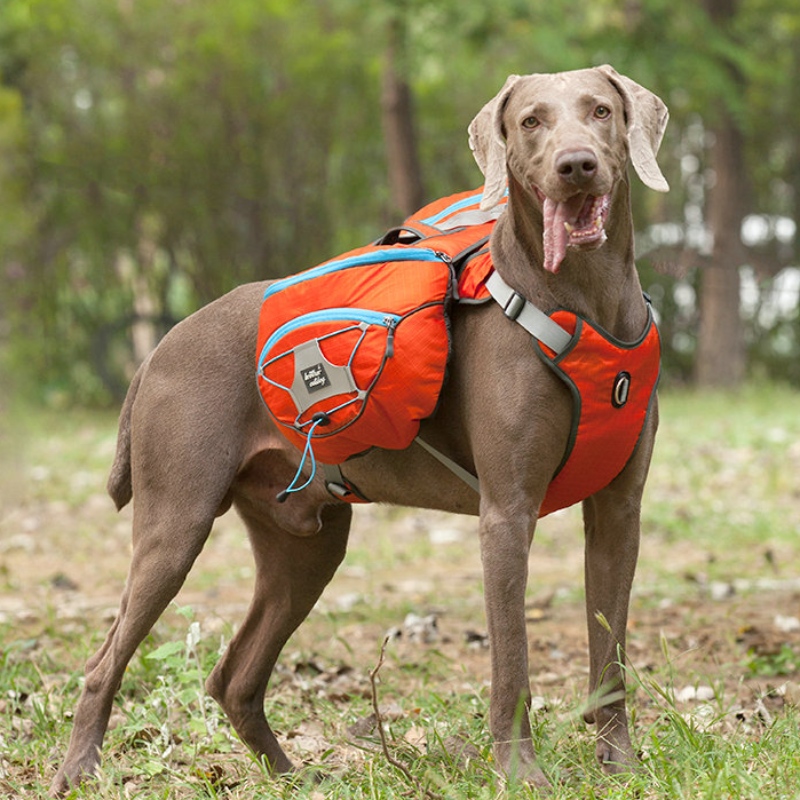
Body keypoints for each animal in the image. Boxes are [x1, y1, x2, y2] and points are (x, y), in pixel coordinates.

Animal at [51, 64, 668, 792]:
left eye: (600, 110)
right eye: (530, 122)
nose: (576, 165)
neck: (583, 298)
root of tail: (159, 347)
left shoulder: (618, 510)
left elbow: (611, 654)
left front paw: (622, 766)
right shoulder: (507, 514)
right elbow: (511, 665)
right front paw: (521, 775)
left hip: (308, 545)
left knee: (234, 676)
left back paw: (293, 777)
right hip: (175, 524)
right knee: (104, 663)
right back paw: (78, 772)